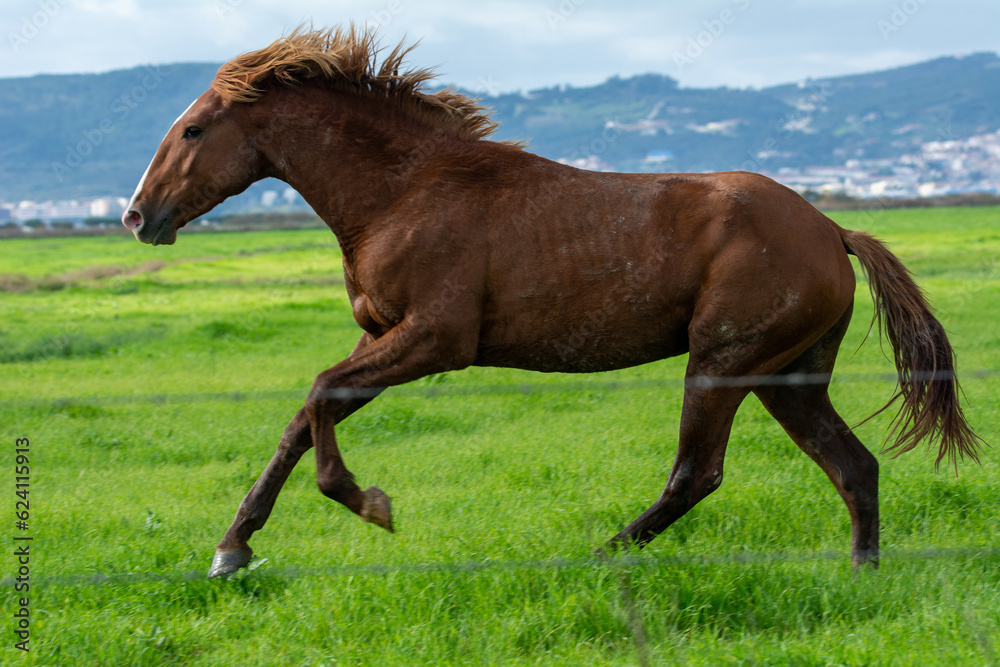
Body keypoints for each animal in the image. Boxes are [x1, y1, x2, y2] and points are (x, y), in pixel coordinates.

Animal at [121, 26, 982, 578]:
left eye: (193, 130)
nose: (137, 215)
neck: (405, 192)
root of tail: (833, 229)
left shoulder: (436, 338)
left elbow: (319, 394)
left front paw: (370, 503)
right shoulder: (388, 338)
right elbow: (304, 417)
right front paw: (232, 550)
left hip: (725, 360)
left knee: (697, 472)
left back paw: (602, 554)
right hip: (788, 375)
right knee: (852, 465)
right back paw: (862, 575)